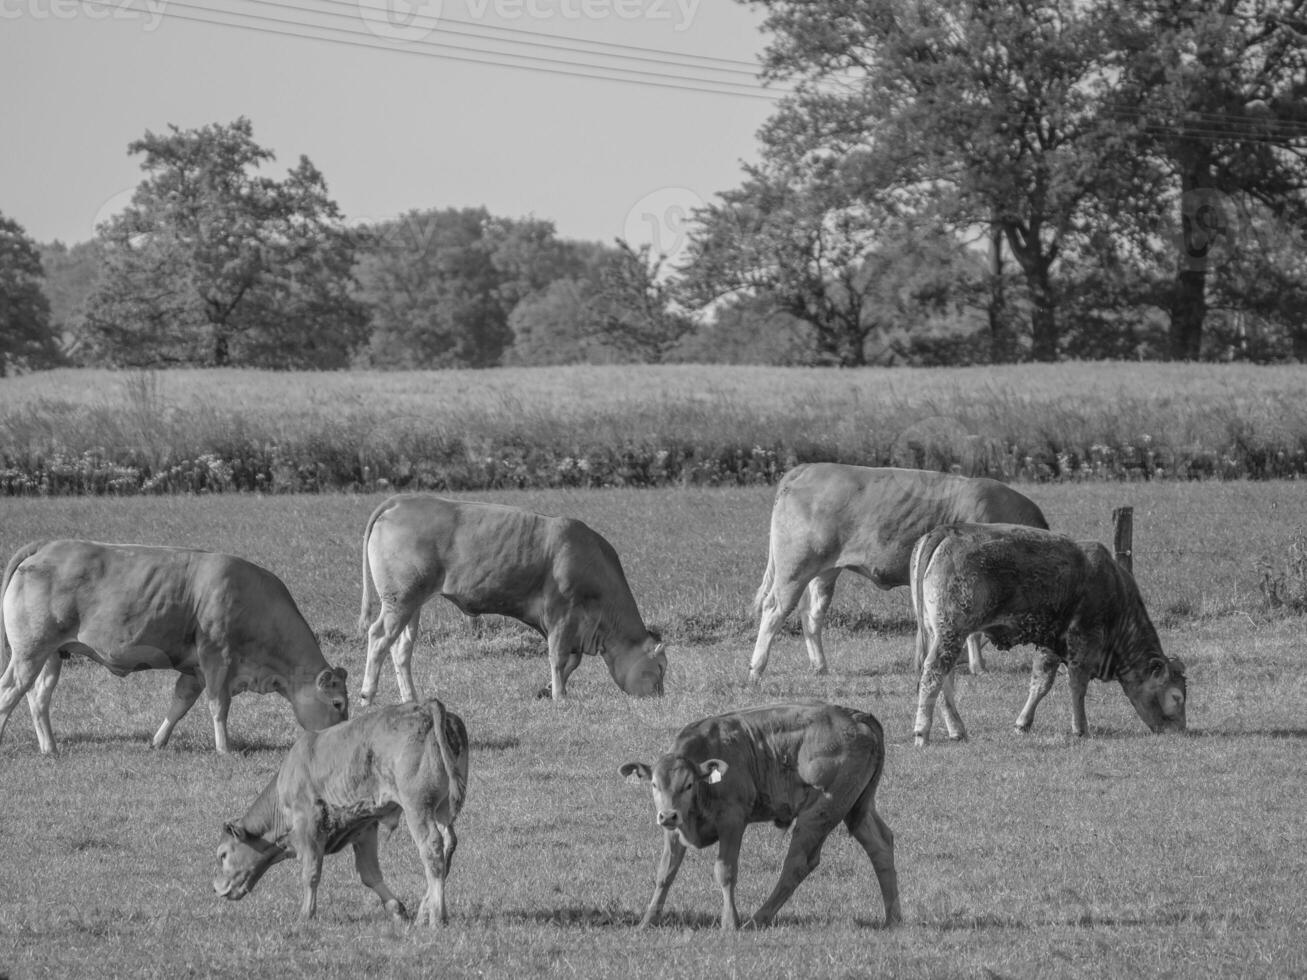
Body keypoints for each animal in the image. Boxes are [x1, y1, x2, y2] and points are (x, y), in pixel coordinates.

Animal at [0, 540, 350, 757]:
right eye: (338, 704)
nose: (341, 741)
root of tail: (48, 545)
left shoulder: (194, 669)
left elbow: (180, 704)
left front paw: (158, 741)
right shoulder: (216, 658)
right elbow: (219, 705)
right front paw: (224, 749)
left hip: (51, 655)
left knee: (38, 698)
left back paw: (50, 748)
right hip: (29, 652)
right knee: (10, 691)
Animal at [216, 700, 473, 930]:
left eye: (223, 854)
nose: (217, 887)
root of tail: (426, 707)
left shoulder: (309, 827)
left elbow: (311, 873)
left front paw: (305, 916)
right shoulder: (364, 828)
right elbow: (370, 874)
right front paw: (397, 911)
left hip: (417, 808)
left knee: (432, 850)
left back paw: (437, 918)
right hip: (442, 809)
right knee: (447, 844)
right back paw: (424, 913)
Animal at [355, 499, 663, 705]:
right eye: (660, 668)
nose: (659, 696)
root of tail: (404, 500)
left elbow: (571, 661)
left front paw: (547, 689)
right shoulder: (560, 613)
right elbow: (558, 657)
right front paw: (559, 696)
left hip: (413, 602)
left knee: (401, 648)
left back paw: (411, 699)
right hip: (399, 600)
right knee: (379, 637)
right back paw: (367, 696)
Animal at [619, 700, 899, 930]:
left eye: (688, 784)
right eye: (654, 784)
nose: (668, 815)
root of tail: (856, 717)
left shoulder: (732, 822)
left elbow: (725, 871)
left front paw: (729, 922)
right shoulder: (675, 832)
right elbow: (665, 873)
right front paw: (646, 922)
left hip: (821, 812)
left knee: (797, 864)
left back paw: (756, 919)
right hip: (855, 809)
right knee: (880, 844)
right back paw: (893, 919)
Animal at [752, 465, 1045, 684]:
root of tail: (807, 468)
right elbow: (971, 630)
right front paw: (977, 666)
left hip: (825, 571)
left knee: (812, 613)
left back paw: (820, 666)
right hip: (795, 568)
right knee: (775, 608)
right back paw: (757, 667)